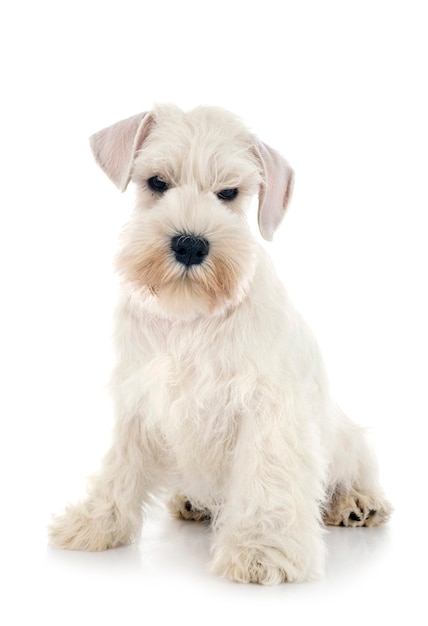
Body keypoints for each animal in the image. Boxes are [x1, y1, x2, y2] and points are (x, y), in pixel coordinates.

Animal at [49, 105, 392, 584]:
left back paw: (357, 503)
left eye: (229, 192)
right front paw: (97, 521)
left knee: (352, 473)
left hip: (345, 438)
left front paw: (262, 549)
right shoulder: (138, 398)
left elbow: (267, 479)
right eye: (157, 182)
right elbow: (120, 465)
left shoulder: (266, 408)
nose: (190, 245)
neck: (189, 316)